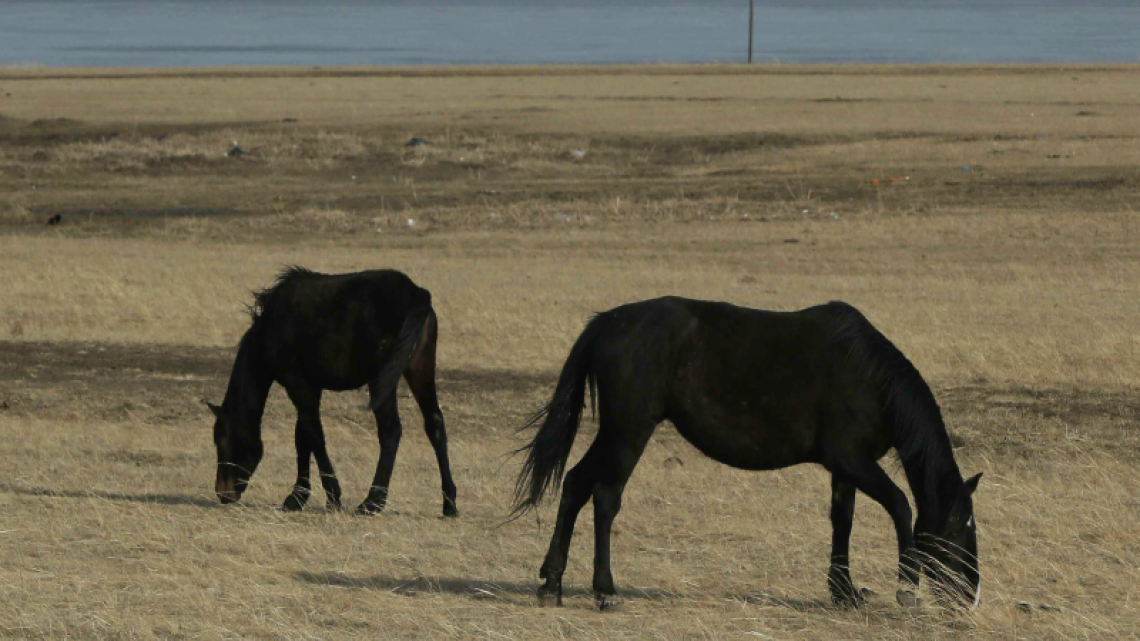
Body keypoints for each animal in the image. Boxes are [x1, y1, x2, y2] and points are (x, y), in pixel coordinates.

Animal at [204, 267, 458, 517]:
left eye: (223, 440)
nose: (223, 493)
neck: (270, 329)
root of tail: (415, 292)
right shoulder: (311, 387)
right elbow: (302, 437)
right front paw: (298, 496)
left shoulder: (298, 385)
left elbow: (315, 437)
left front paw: (332, 495)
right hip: (420, 368)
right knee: (434, 423)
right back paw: (449, 503)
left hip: (383, 380)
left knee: (391, 431)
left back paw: (372, 501)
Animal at [513, 297, 981, 610]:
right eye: (960, 530)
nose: (970, 597)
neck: (867, 376)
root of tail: (606, 324)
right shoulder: (855, 462)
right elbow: (901, 506)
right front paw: (906, 590)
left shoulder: (844, 469)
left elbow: (842, 521)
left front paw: (844, 591)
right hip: (629, 432)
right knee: (605, 498)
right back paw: (605, 590)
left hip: (614, 433)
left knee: (575, 484)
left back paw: (552, 584)